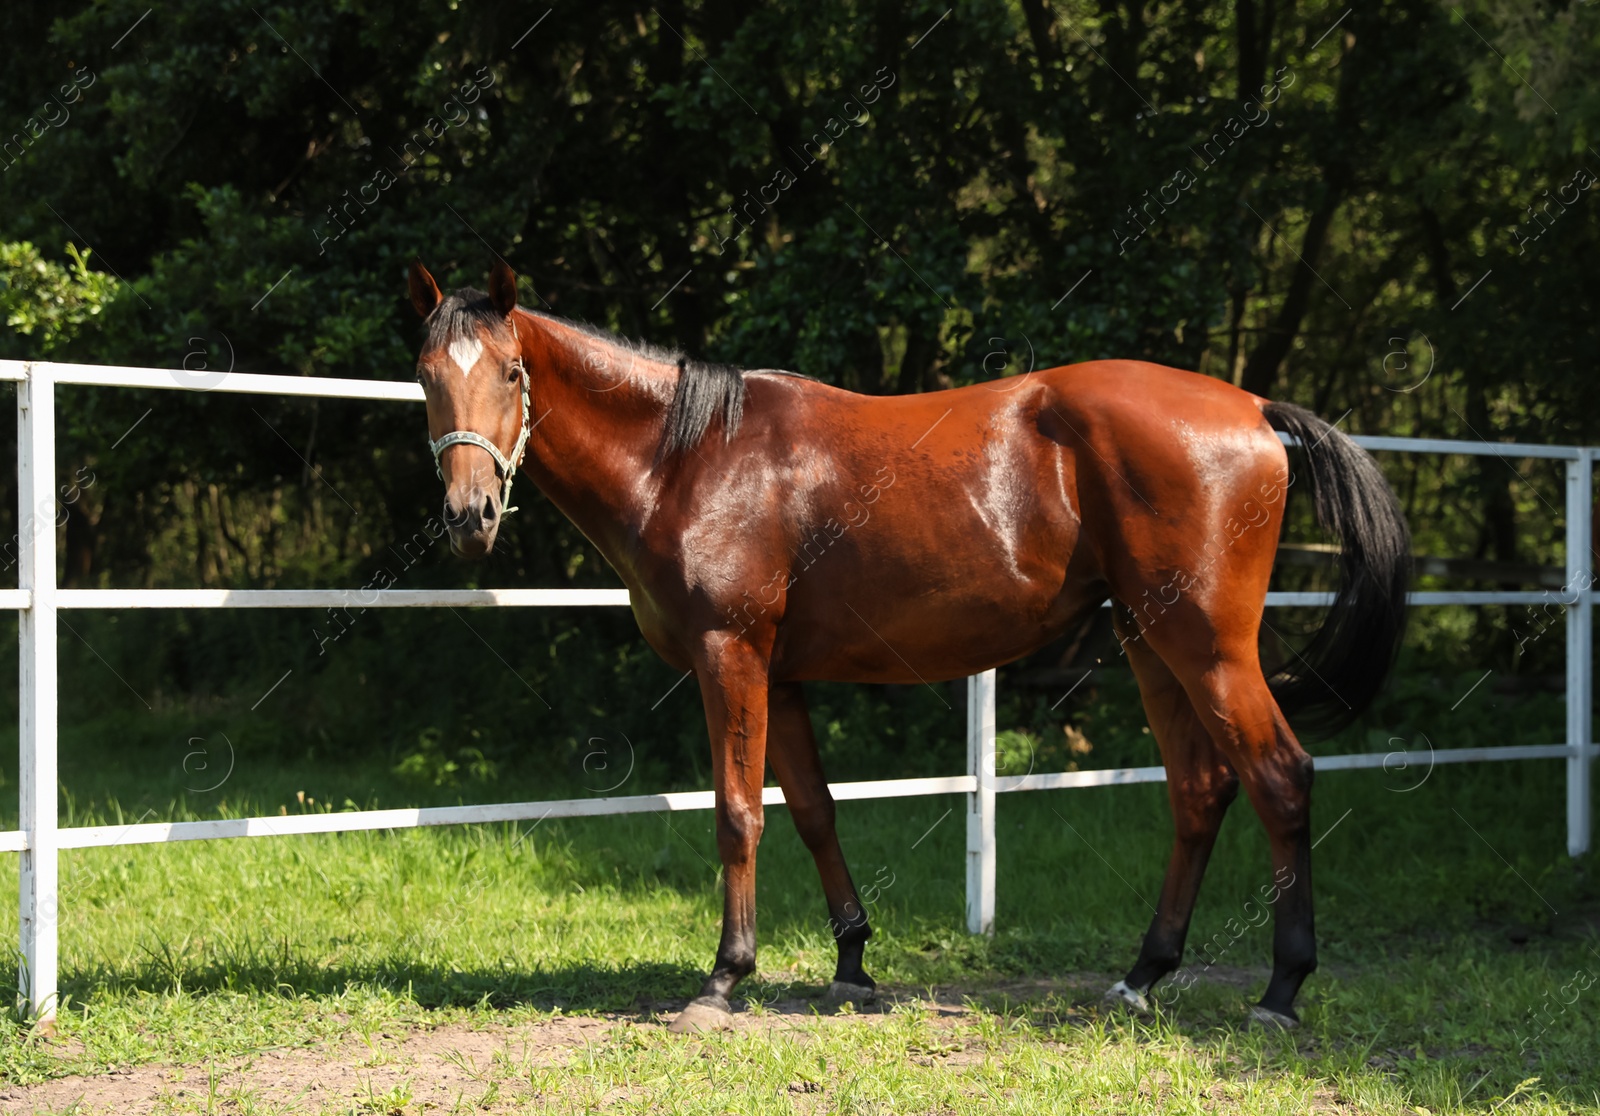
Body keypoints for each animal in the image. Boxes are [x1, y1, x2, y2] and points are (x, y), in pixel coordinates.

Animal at [406, 255, 1408, 1029]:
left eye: (510, 372)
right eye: (425, 375)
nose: (469, 516)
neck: (688, 459)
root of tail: (1253, 406)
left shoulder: (731, 656)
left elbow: (738, 814)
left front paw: (725, 979)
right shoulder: (781, 675)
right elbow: (813, 811)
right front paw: (852, 963)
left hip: (1209, 648)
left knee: (1279, 776)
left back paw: (1281, 991)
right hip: (1149, 642)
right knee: (1199, 791)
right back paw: (1141, 976)